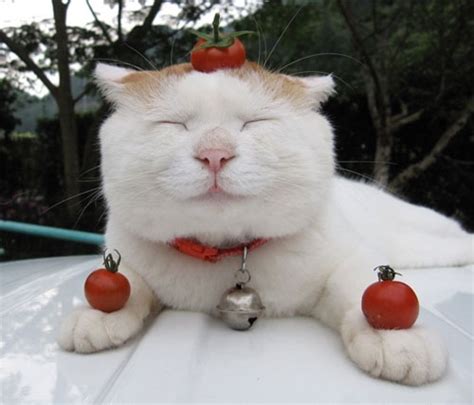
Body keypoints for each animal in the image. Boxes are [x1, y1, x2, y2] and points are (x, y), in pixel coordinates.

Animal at [57, 61, 472, 384]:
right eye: (173, 124)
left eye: (255, 122)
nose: (215, 153)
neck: (226, 252)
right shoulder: (129, 253)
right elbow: (126, 280)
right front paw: (98, 315)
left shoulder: (347, 258)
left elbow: (358, 285)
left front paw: (398, 339)